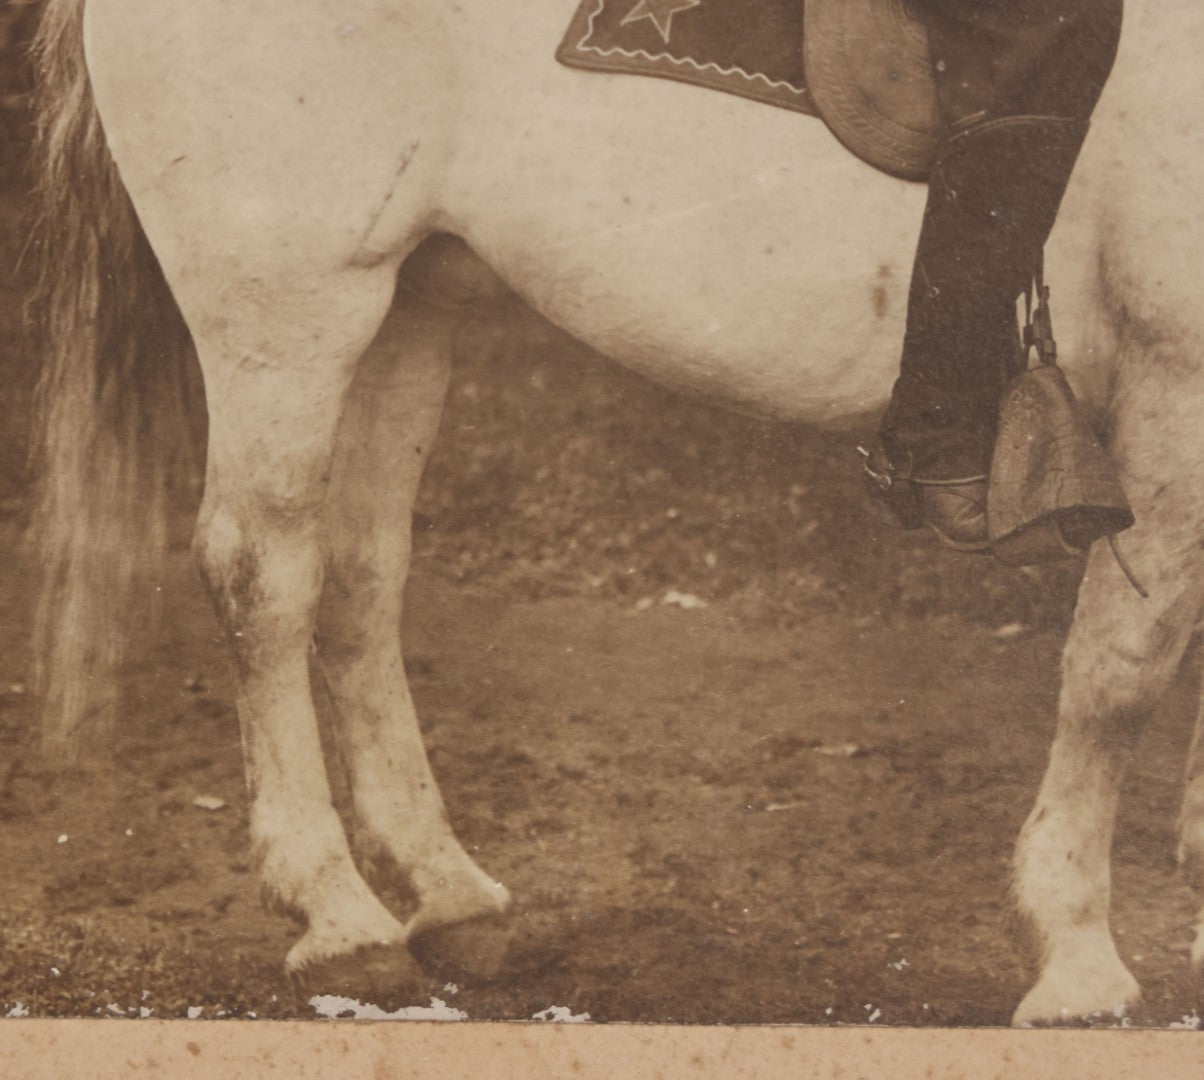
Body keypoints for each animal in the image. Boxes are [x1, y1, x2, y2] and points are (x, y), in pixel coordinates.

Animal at [27, 0, 1202, 1025]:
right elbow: (1120, 672)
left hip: (409, 307)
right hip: (290, 316)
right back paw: (337, 915)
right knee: (262, 579)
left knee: (358, 579)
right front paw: (1077, 955)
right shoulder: (1173, 391)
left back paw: (447, 893)